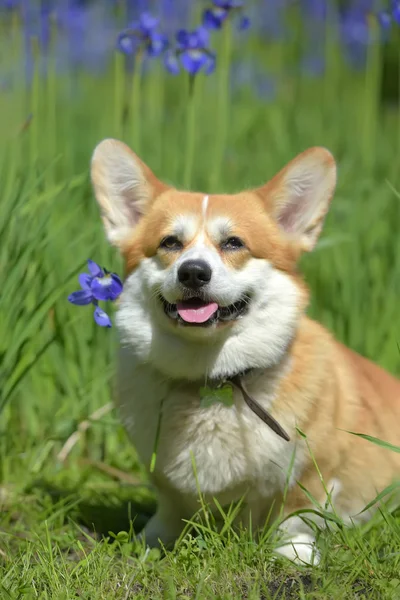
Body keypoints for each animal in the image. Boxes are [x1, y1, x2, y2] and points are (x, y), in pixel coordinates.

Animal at [90, 139, 400, 564]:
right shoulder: (163, 478)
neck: (211, 379)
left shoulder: (310, 470)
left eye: (233, 243)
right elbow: (169, 507)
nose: (193, 272)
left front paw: (294, 554)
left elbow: (296, 514)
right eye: (170, 243)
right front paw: (151, 543)